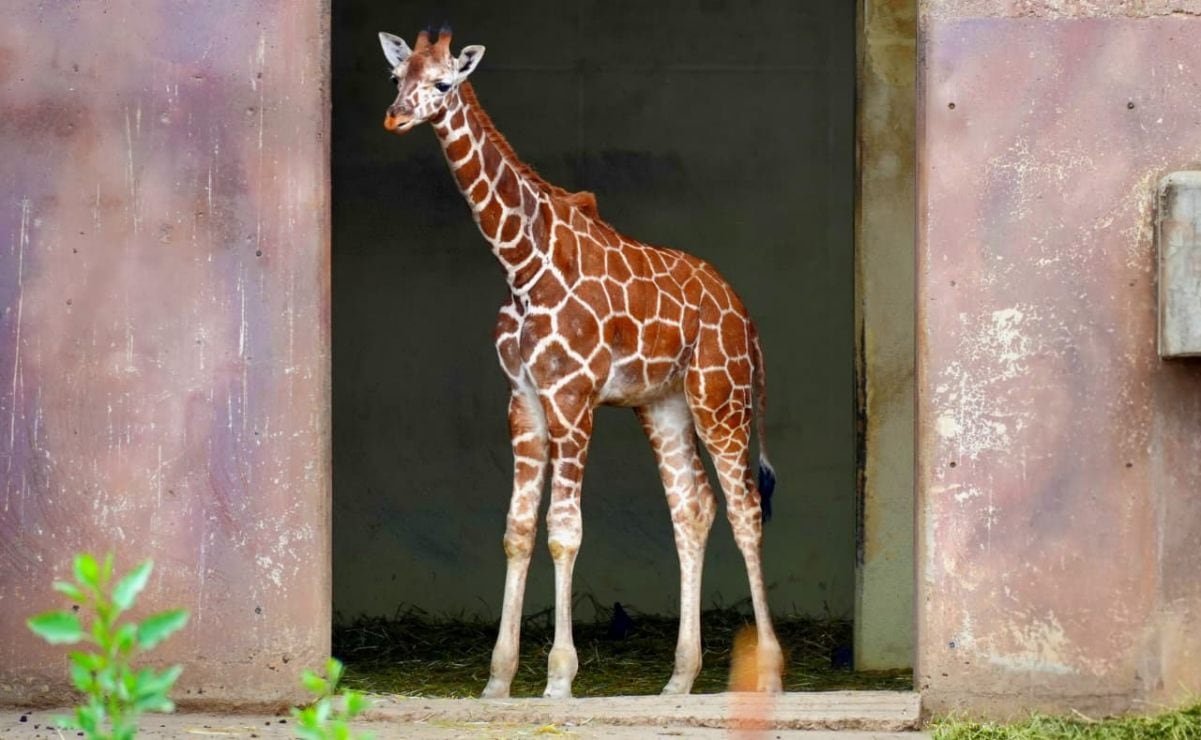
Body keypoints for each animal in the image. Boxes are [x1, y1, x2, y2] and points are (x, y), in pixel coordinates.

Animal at [378, 27, 783, 699]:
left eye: (443, 81)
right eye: (396, 76)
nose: (396, 116)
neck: (522, 265)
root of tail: (745, 316)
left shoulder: (572, 397)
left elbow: (564, 531)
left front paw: (559, 678)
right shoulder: (523, 399)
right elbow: (518, 531)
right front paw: (497, 680)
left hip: (721, 395)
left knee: (746, 507)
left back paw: (772, 672)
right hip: (664, 404)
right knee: (693, 507)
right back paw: (679, 678)